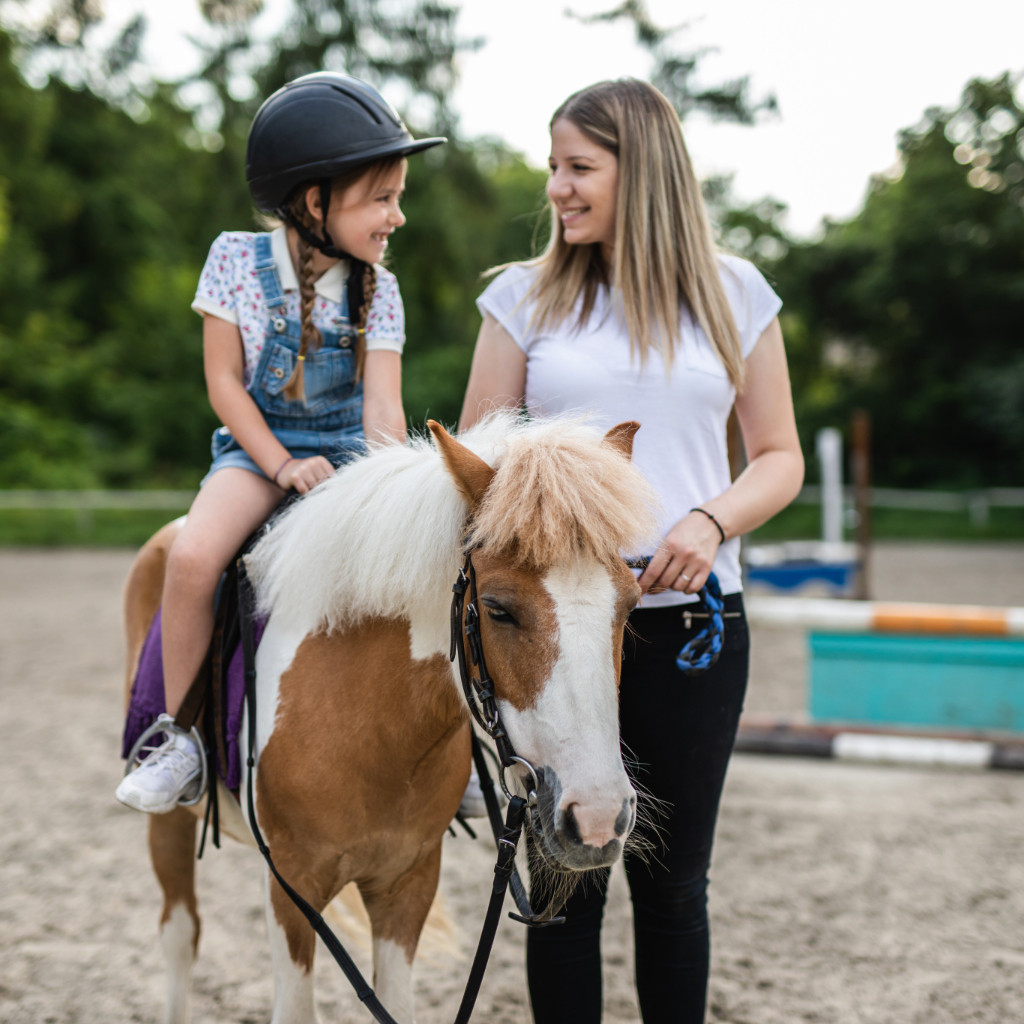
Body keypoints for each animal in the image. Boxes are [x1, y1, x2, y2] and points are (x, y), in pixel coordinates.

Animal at [121, 413, 655, 1024]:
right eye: (497, 609)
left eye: (630, 604)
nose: (598, 817)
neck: (373, 729)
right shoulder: (291, 888)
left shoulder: (409, 882)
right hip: (170, 822)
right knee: (179, 934)